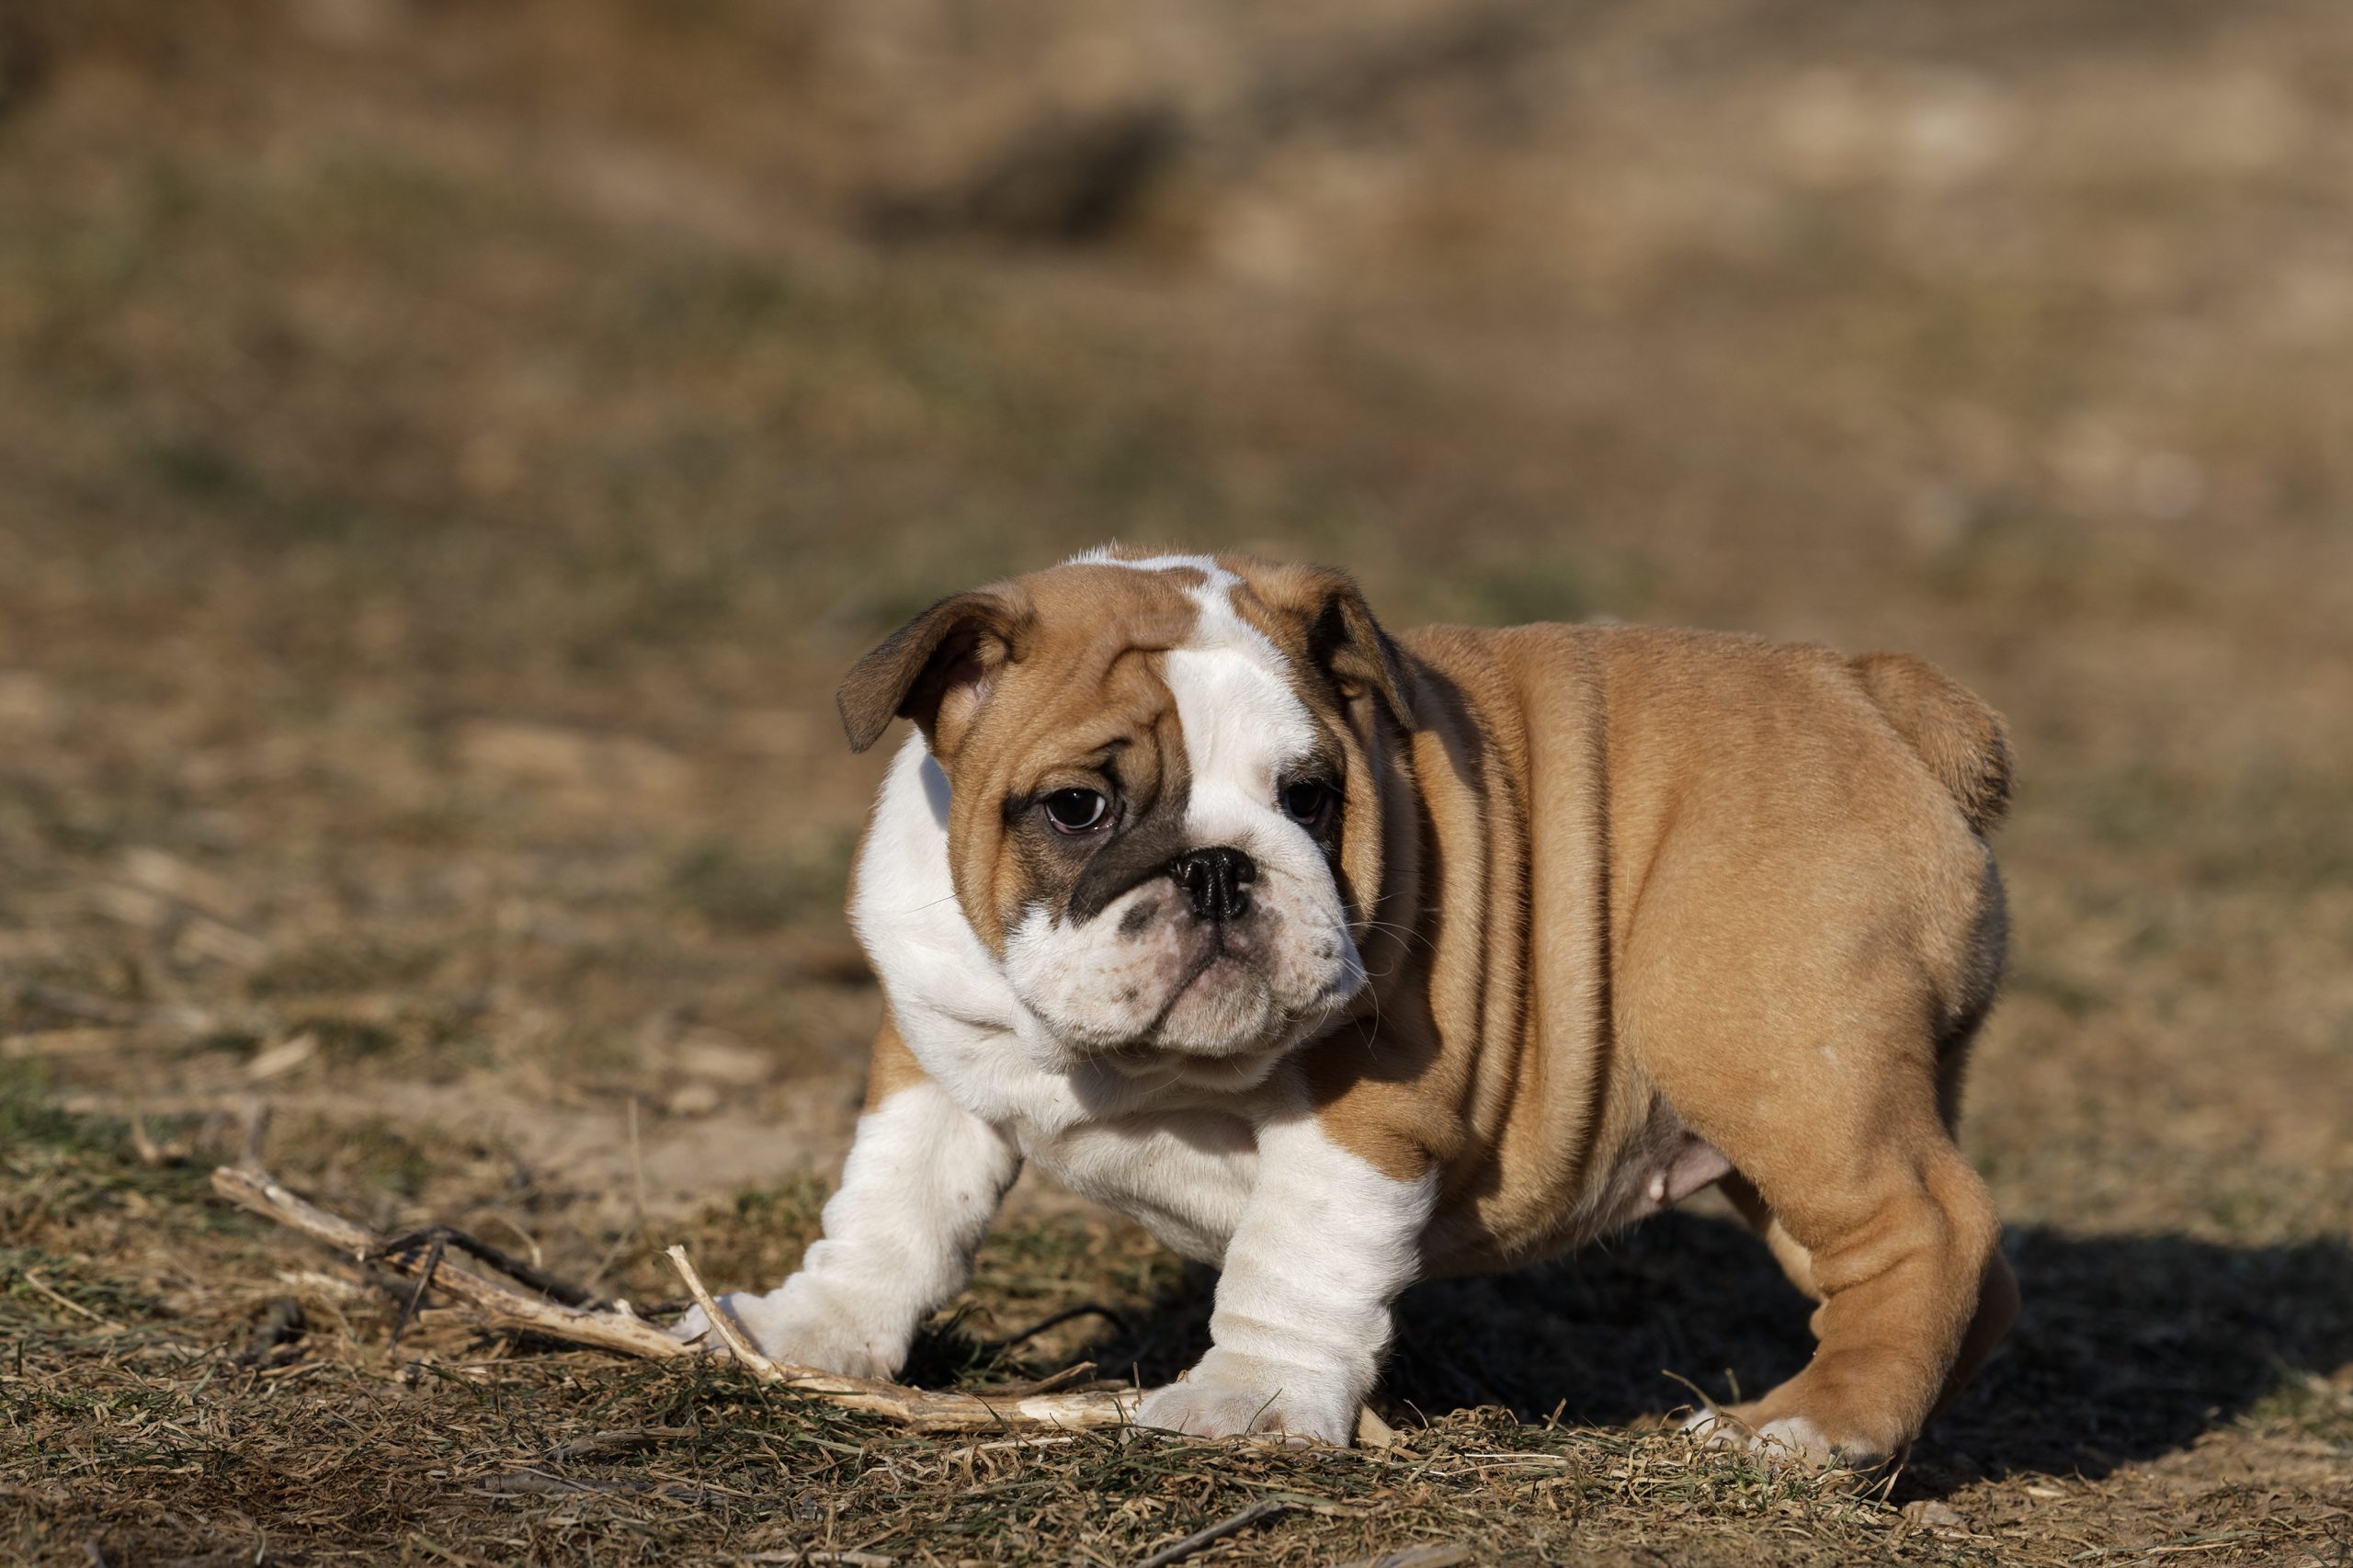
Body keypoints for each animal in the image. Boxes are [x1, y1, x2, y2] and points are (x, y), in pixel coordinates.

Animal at [673, 548, 2014, 1469]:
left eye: (1310, 796)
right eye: (1077, 805)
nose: (1219, 869)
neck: (1122, 1060)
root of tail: (1879, 695)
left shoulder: (1367, 1107)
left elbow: (1295, 1257)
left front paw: (1245, 1401)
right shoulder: (937, 1057)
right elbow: (892, 1209)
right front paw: (796, 1327)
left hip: (1782, 1061)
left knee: (1927, 1224)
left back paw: (1807, 1431)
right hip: (1781, 1121)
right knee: (1944, 1266)